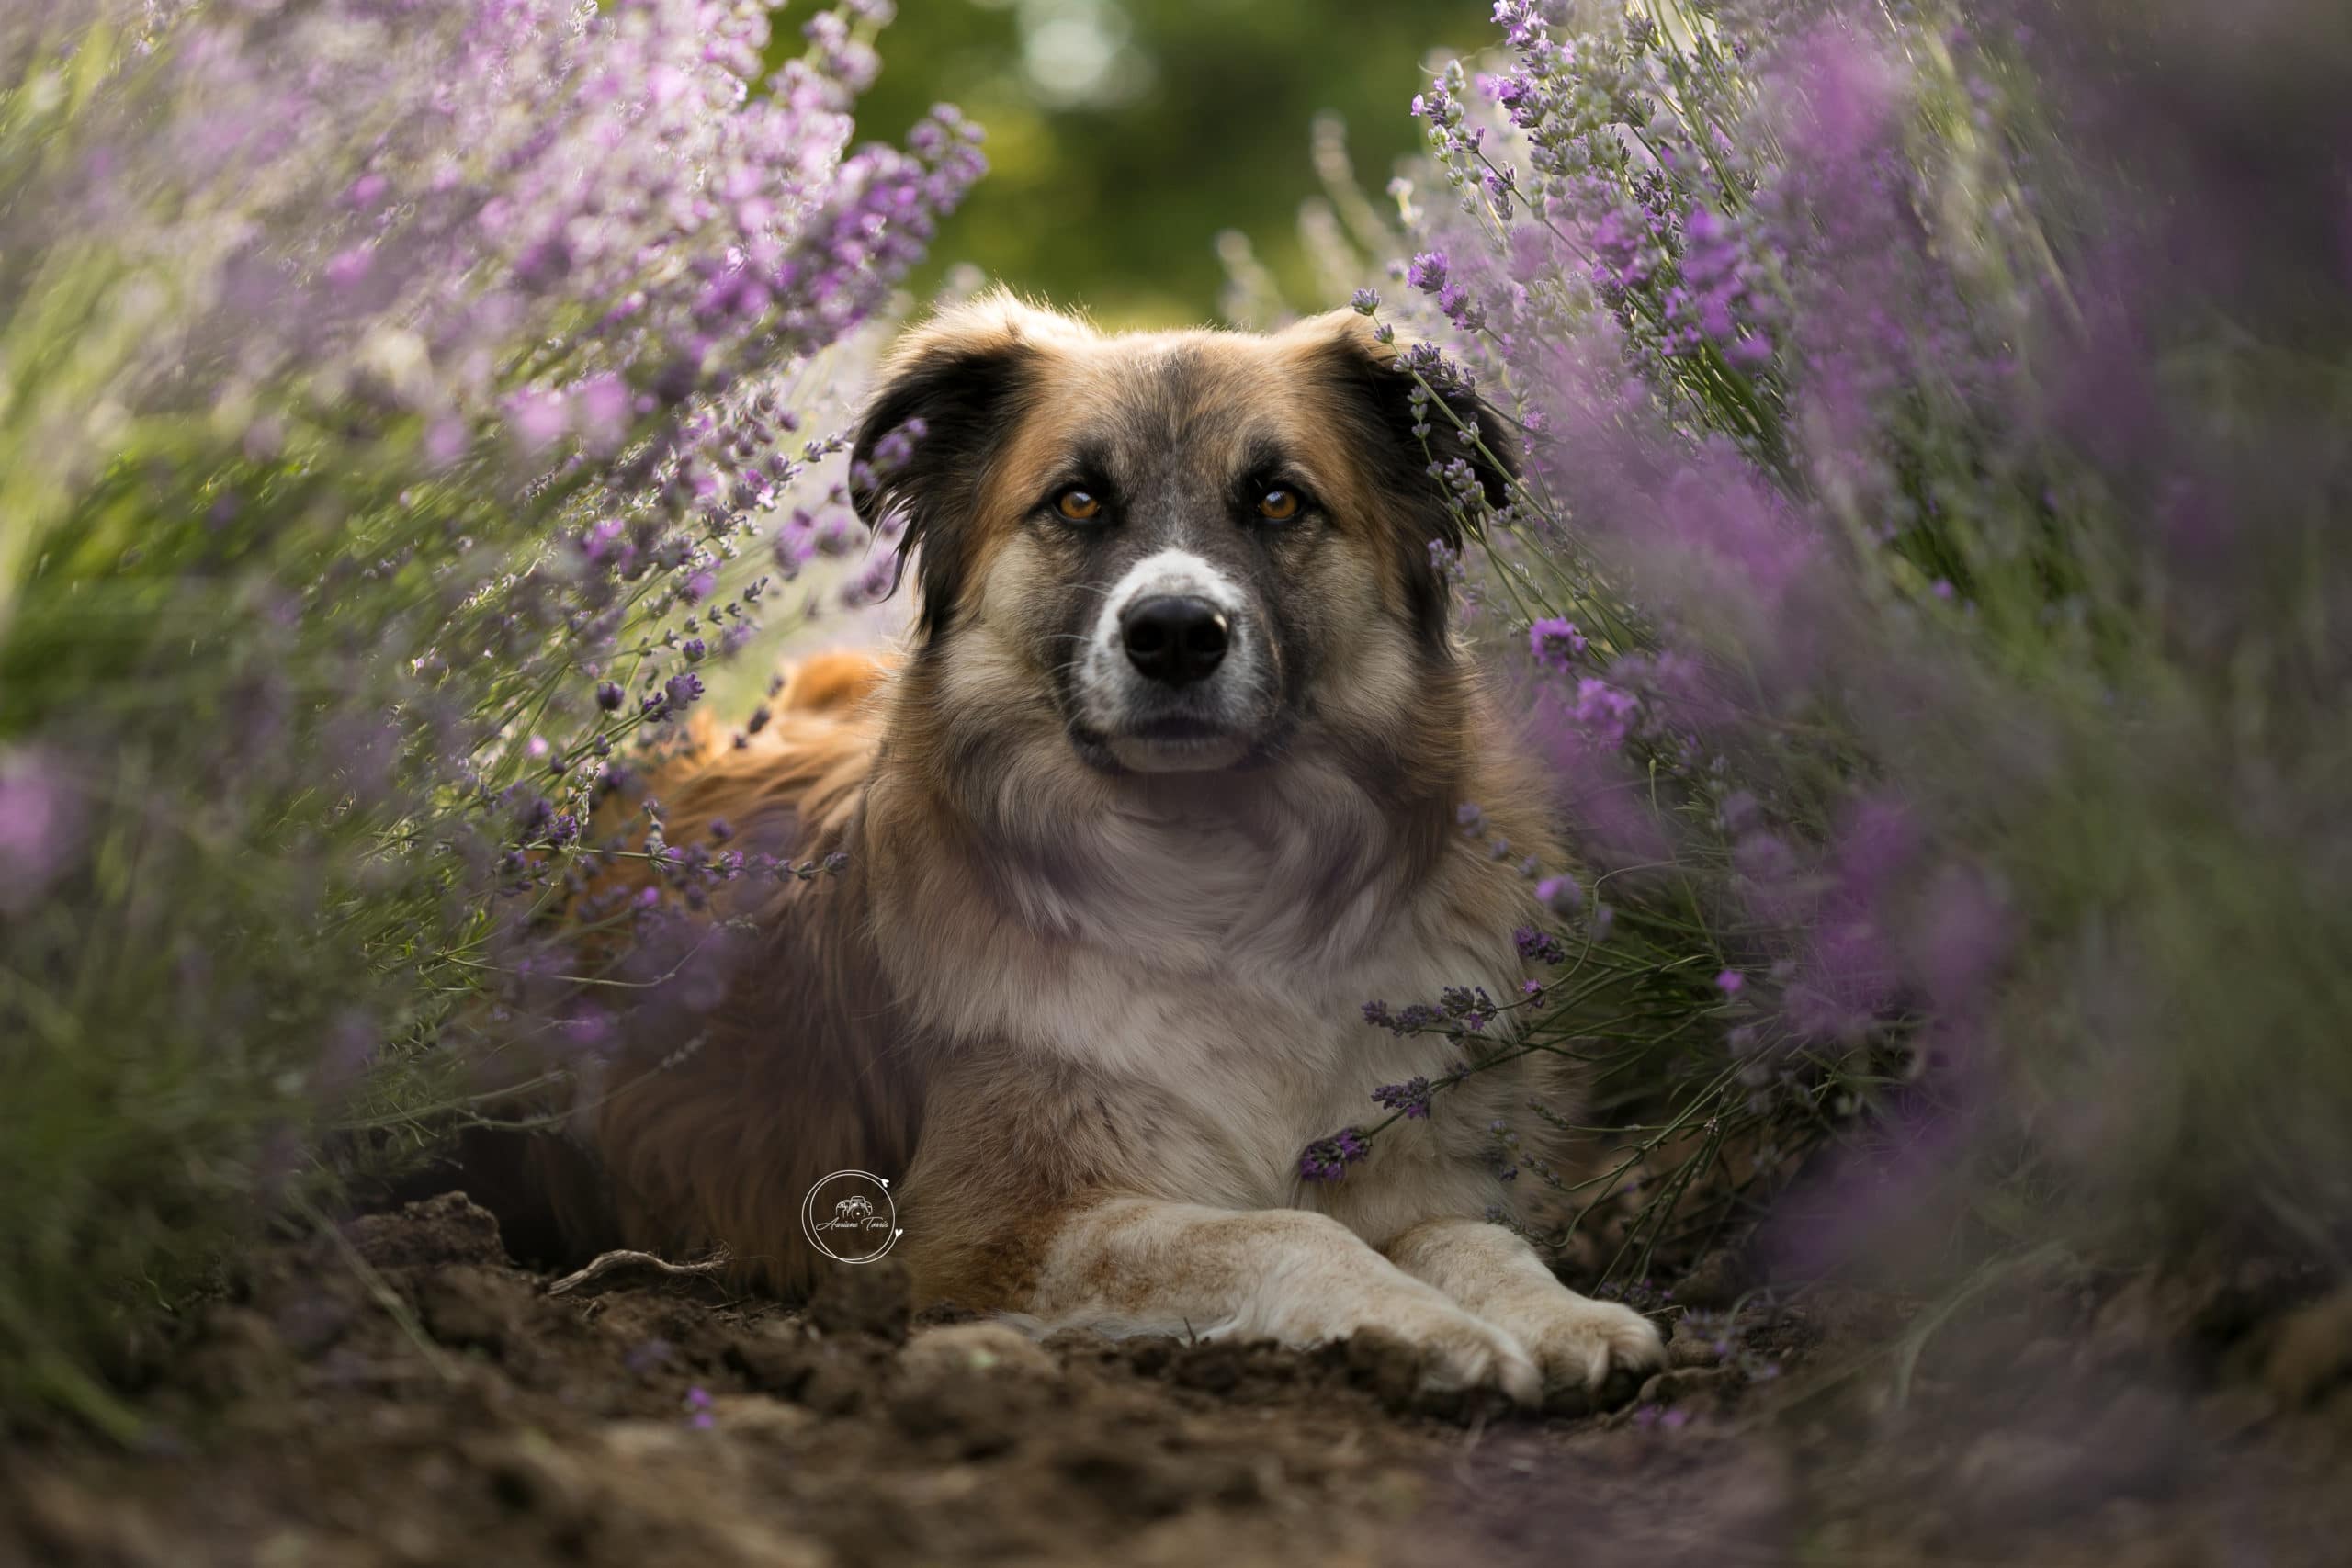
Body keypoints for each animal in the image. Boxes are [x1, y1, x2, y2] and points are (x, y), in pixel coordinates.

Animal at [505, 297, 1665, 1410]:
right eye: (1075, 503)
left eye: (1279, 501)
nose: (1175, 633)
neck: (1215, 882)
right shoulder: (987, 1226)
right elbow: (1279, 1229)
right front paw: (1432, 1332)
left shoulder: (1412, 1155)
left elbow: (1469, 1235)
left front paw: (1558, 1314)